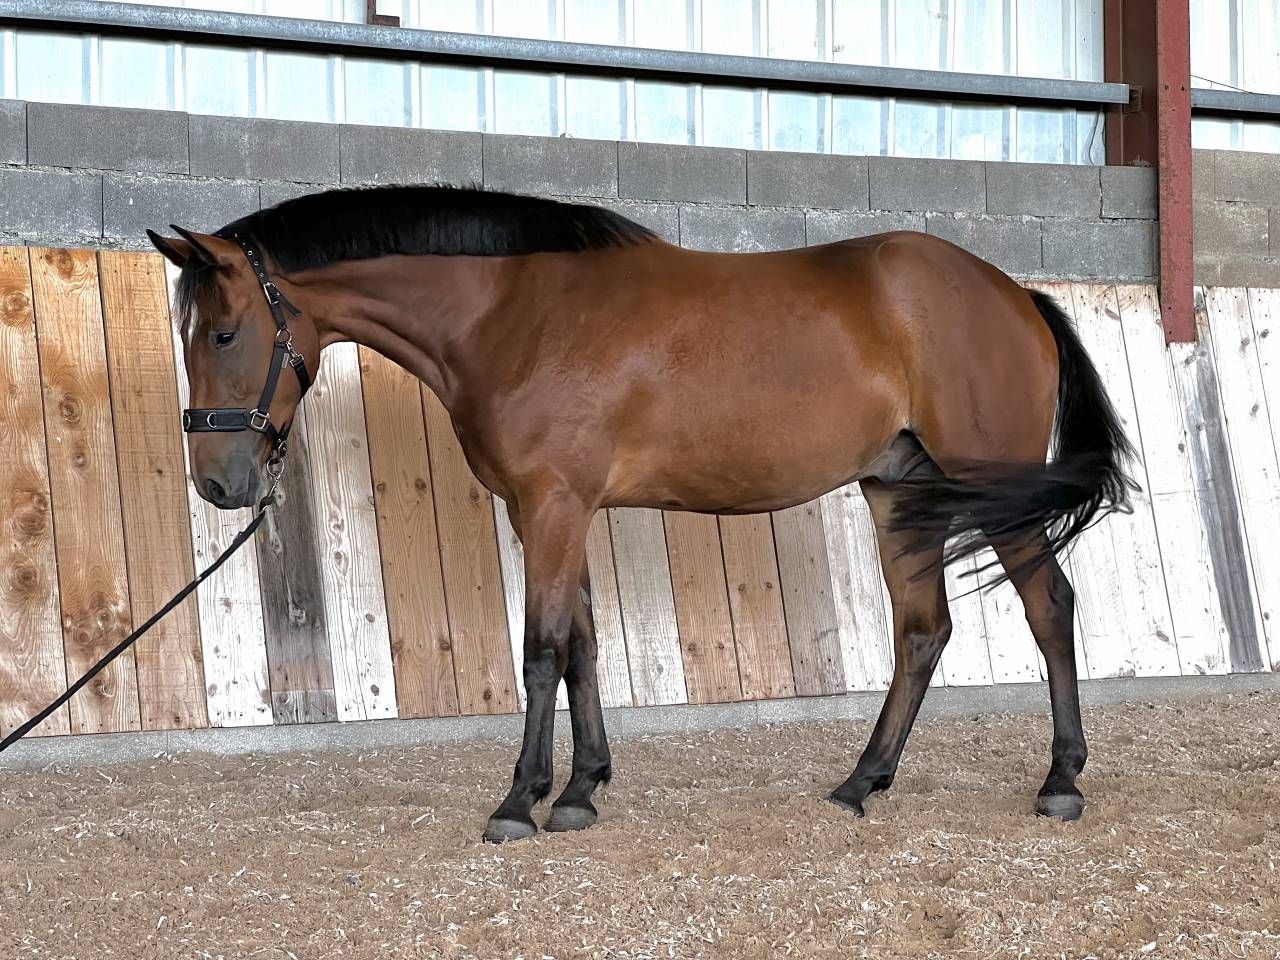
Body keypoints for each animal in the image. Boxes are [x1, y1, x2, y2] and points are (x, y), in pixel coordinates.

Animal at [148, 184, 1134, 843]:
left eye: (225, 332)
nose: (219, 485)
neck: (511, 314)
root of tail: (1015, 294)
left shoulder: (552, 506)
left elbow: (543, 651)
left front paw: (520, 802)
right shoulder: (552, 511)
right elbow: (583, 645)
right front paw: (582, 789)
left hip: (991, 487)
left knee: (1050, 609)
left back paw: (1060, 781)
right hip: (901, 491)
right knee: (923, 631)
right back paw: (862, 781)